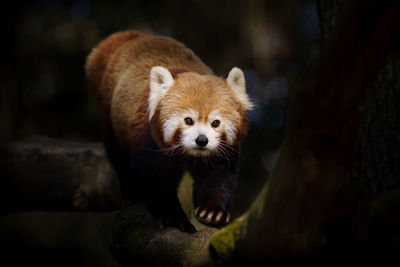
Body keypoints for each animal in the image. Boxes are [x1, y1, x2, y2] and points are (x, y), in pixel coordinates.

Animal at [85, 30, 252, 233]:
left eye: (215, 123)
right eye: (188, 120)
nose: (201, 140)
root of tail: (133, 37)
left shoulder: (223, 152)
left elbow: (217, 176)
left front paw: (212, 212)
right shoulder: (150, 142)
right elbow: (155, 182)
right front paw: (173, 218)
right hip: (111, 115)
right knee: (118, 154)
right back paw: (130, 192)